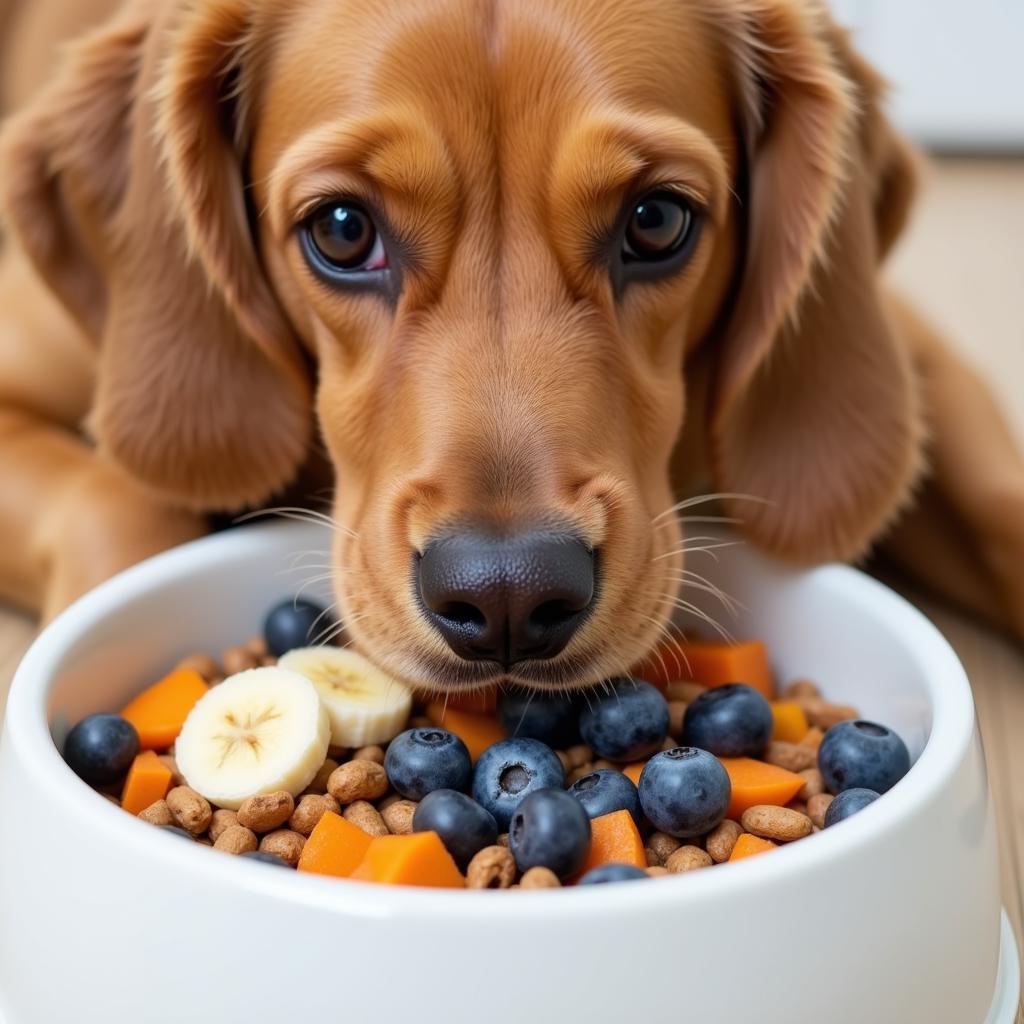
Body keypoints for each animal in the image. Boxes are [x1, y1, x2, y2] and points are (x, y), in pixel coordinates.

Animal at [2, 0, 1024, 696]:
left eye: (657, 221)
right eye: (341, 230)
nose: (506, 598)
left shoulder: (912, 358)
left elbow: (1000, 503)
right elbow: (116, 507)